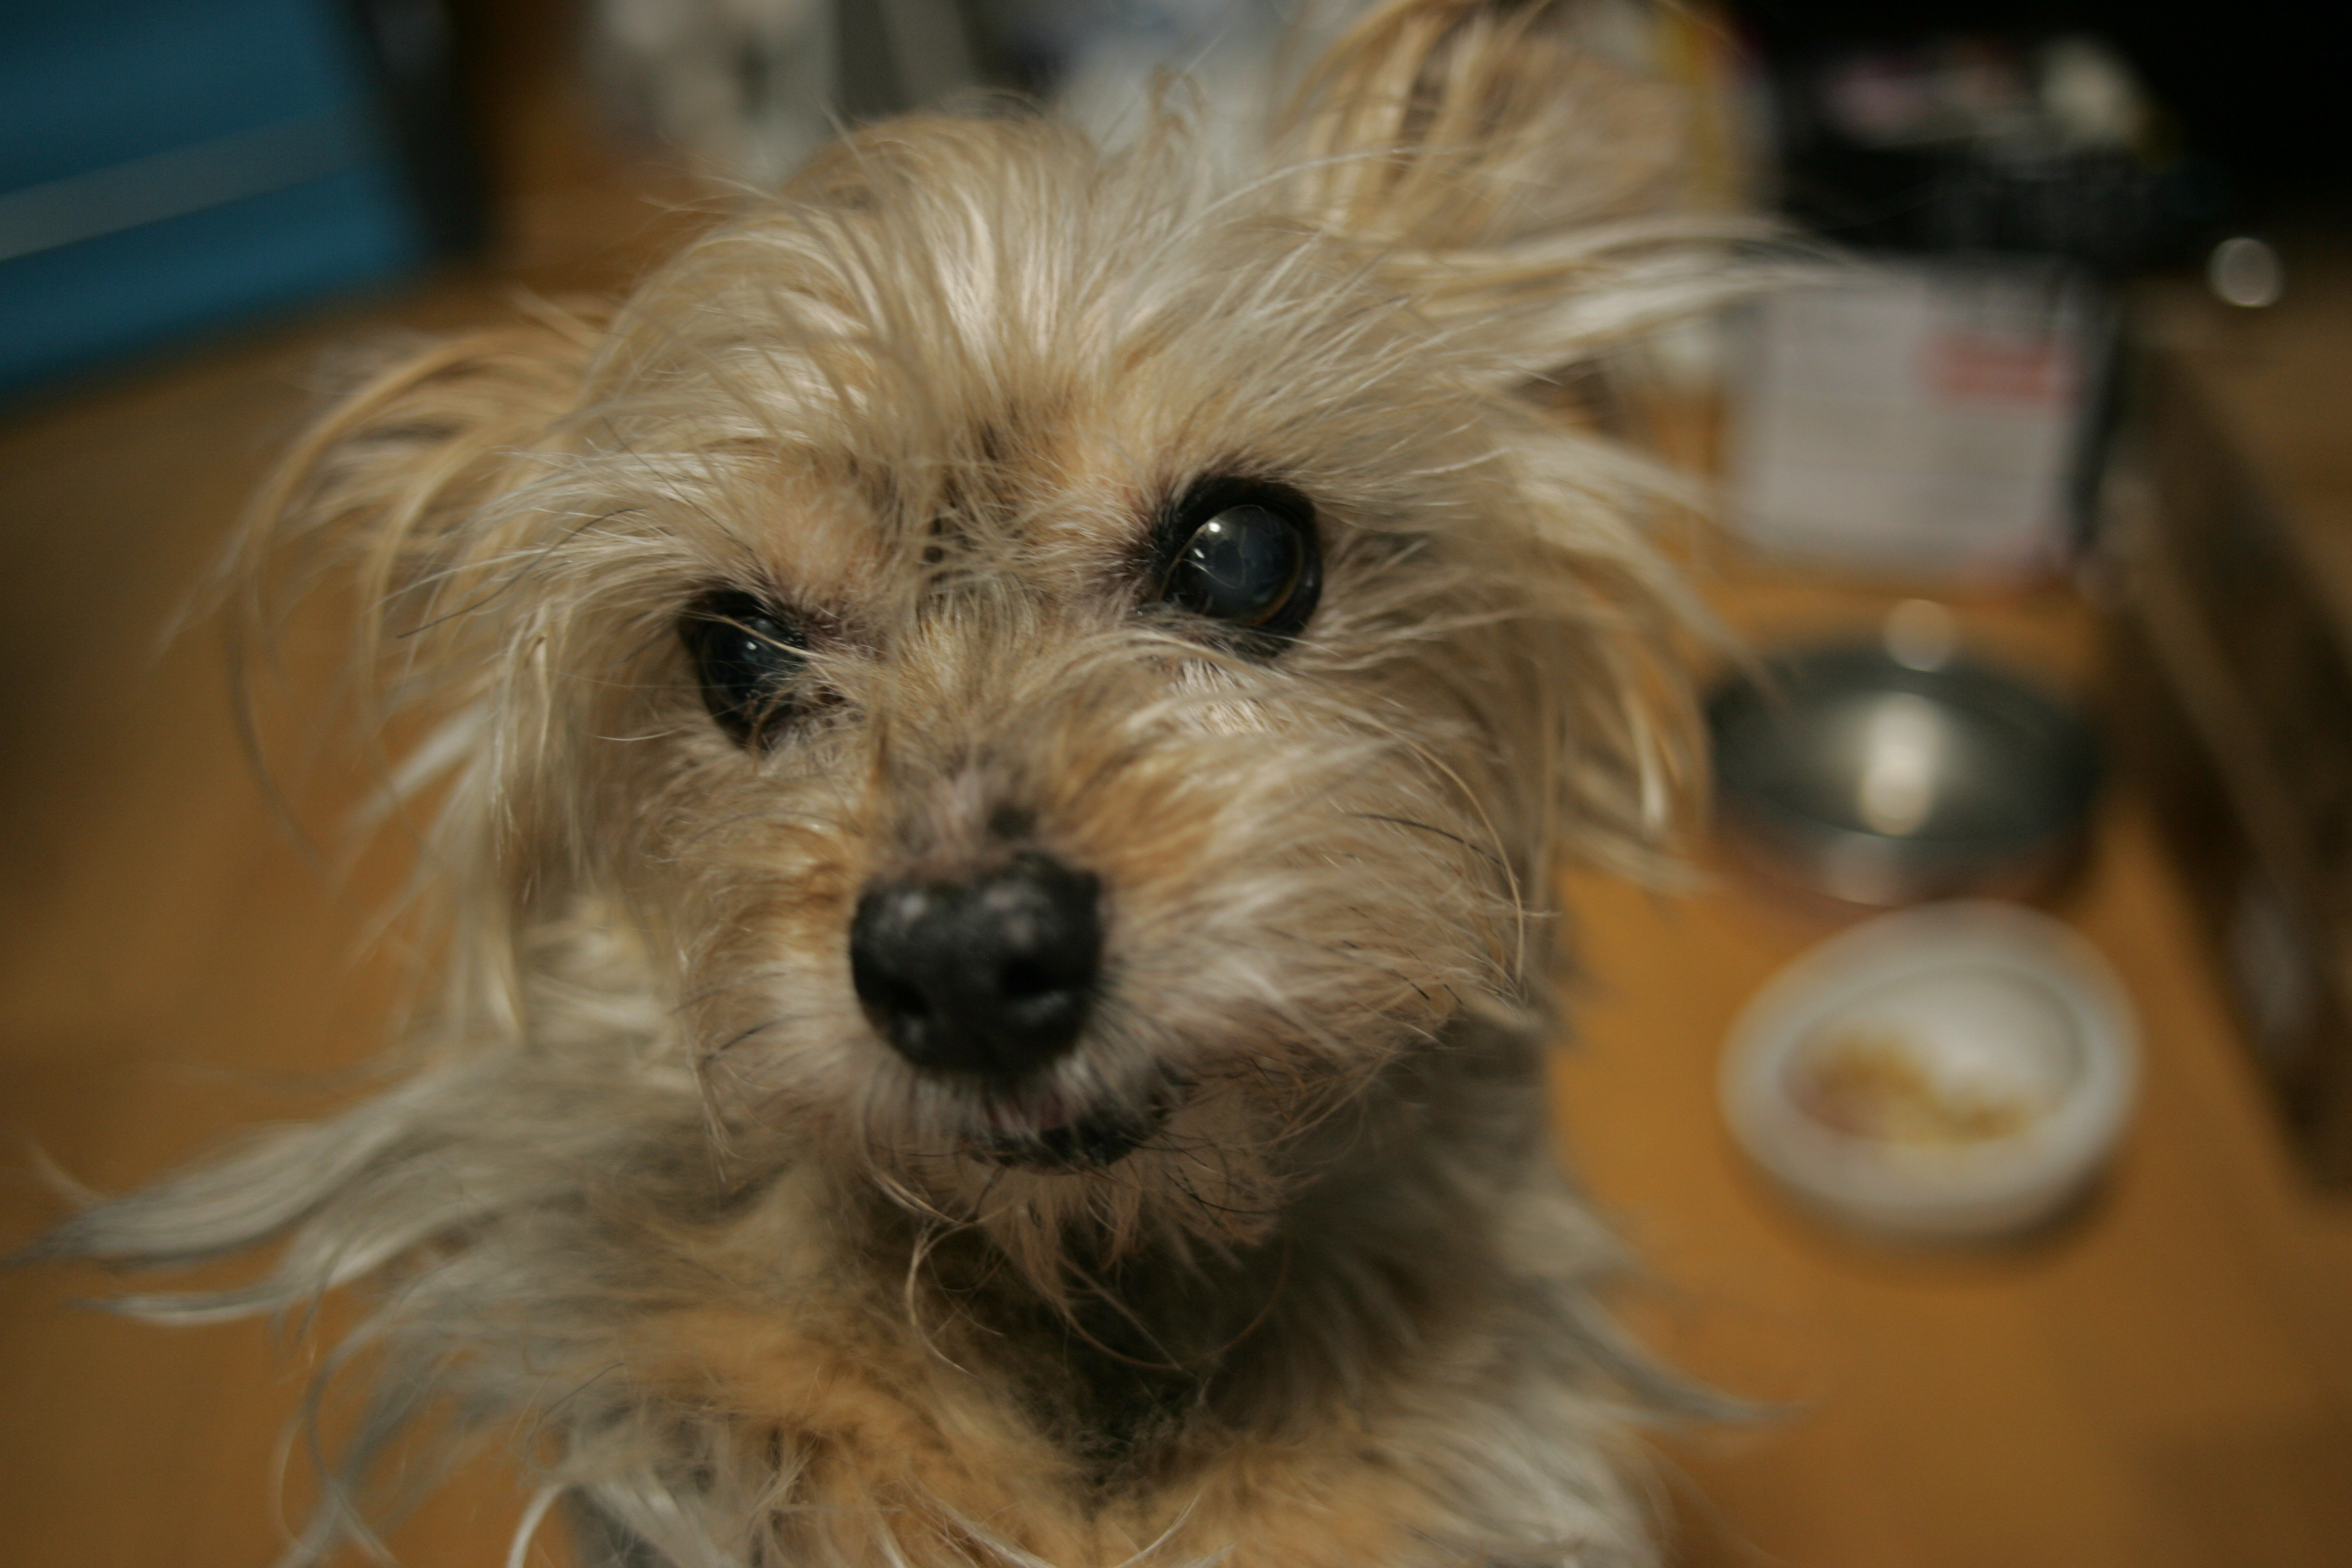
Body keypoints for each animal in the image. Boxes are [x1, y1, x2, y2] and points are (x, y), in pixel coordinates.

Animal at [42, 4, 1754, 1564]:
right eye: (734, 653)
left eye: (1242, 552)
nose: (967, 961)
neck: (1095, 1275)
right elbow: (753, 1319)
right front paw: (874, 1448)